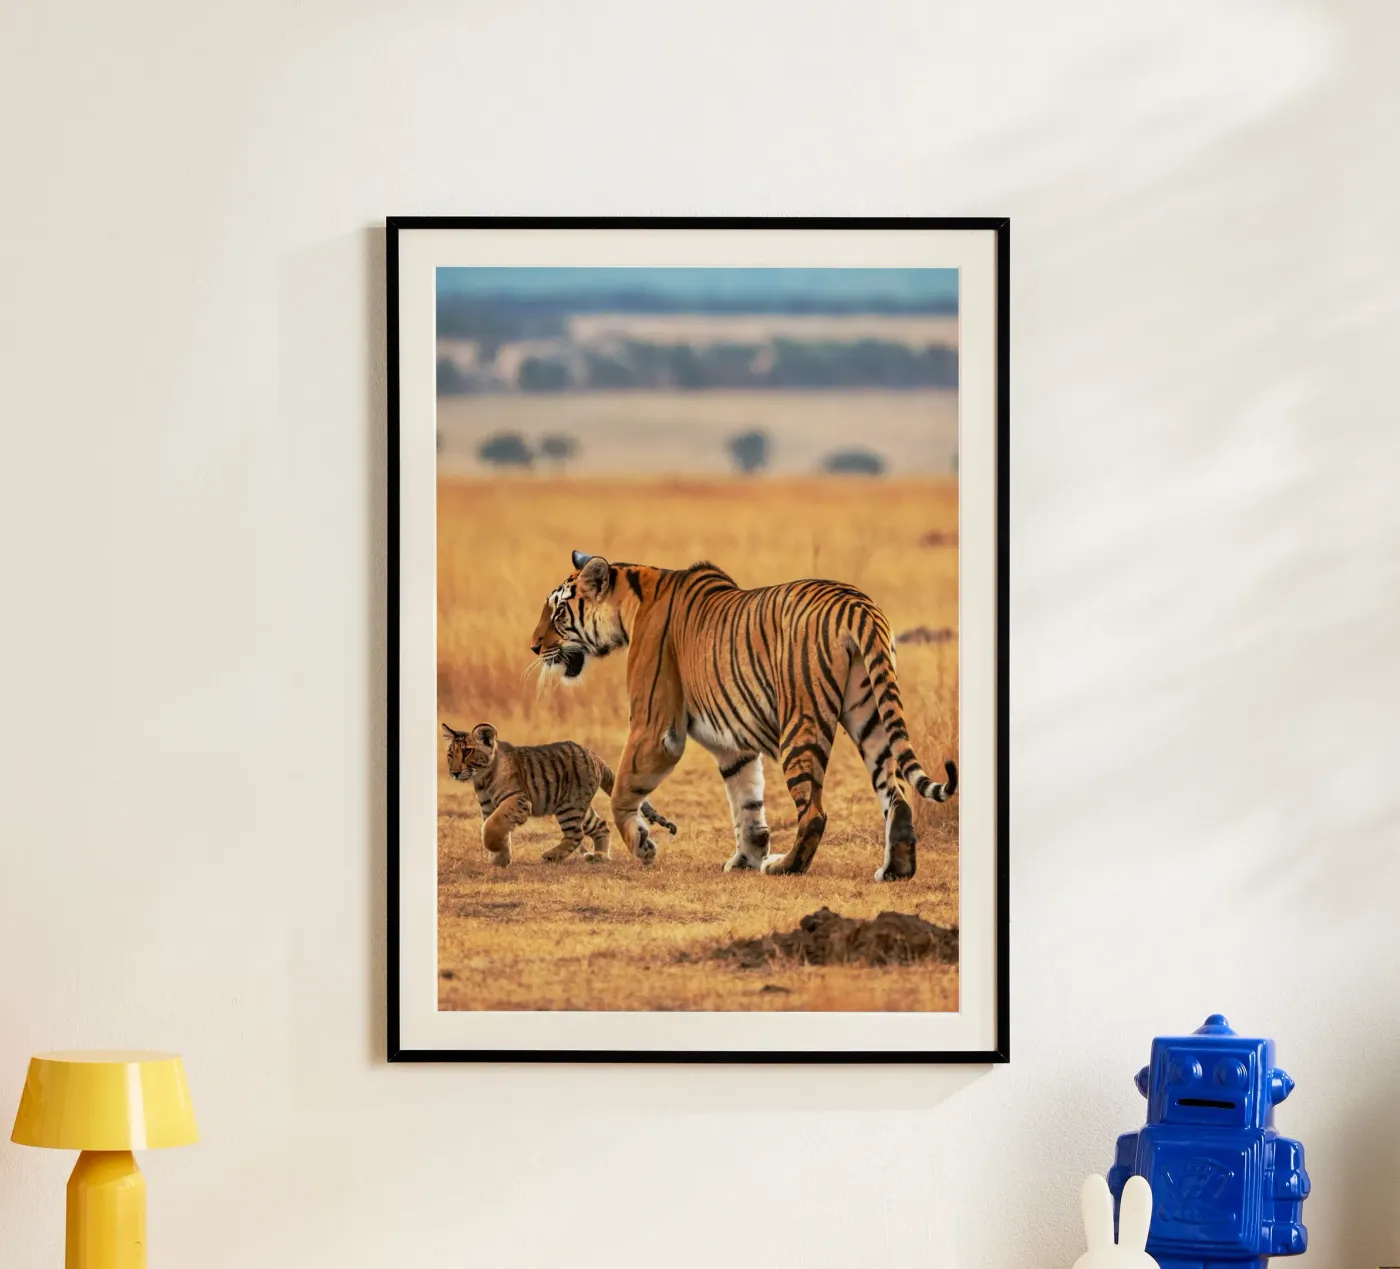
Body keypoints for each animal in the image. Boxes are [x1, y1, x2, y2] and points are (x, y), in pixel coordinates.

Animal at [441, 722, 677, 867]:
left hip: (569, 806)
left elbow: (492, 827)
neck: (482, 776)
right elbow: (498, 828)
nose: (454, 772)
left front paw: (495, 851)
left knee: (575, 834)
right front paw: (501, 858)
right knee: (601, 826)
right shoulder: (489, 806)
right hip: (580, 807)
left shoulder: (517, 799)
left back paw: (551, 855)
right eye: (450, 754)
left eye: (468, 751)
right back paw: (599, 856)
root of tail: (594, 756)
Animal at [529, 551, 956, 882]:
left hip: (800, 722)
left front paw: (643, 844)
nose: (533, 646)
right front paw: (745, 859)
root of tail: (857, 604)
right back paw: (895, 870)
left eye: (559, 612)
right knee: (896, 795)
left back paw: (784, 866)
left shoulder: (655, 728)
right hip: (870, 714)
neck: (632, 600)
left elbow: (621, 792)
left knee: (815, 812)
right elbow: (747, 802)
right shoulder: (732, 744)